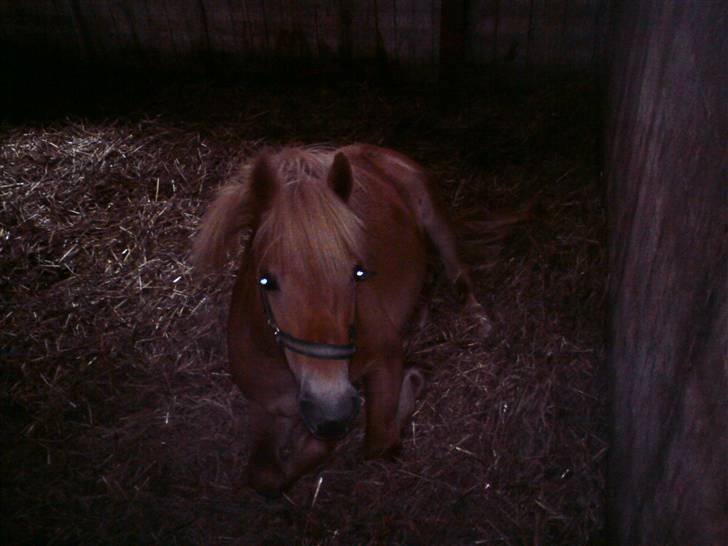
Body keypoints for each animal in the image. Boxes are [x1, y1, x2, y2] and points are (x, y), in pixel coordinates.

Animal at [193, 143, 490, 492]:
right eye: (266, 280)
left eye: (357, 272)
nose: (331, 410)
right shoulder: (265, 406)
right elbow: (264, 475)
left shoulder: (386, 358)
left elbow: (379, 441)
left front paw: (413, 378)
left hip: (435, 218)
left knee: (457, 271)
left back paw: (476, 318)